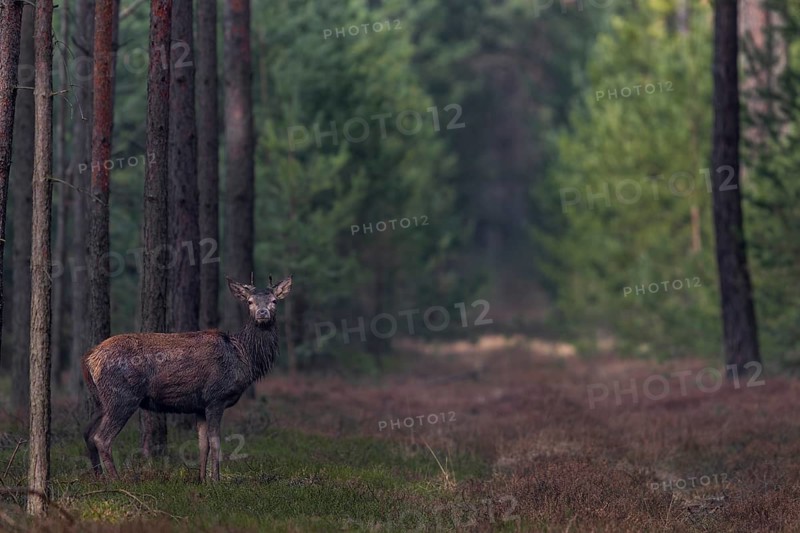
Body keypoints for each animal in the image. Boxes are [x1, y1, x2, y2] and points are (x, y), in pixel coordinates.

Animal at [81, 275, 292, 482]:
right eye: (250, 301)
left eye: (274, 301)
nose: (263, 313)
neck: (243, 356)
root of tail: (89, 359)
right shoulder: (216, 397)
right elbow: (215, 442)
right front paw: (216, 481)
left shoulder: (200, 406)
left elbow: (203, 445)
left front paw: (202, 480)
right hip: (122, 397)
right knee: (101, 438)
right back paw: (116, 480)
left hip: (102, 400)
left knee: (87, 433)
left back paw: (99, 478)